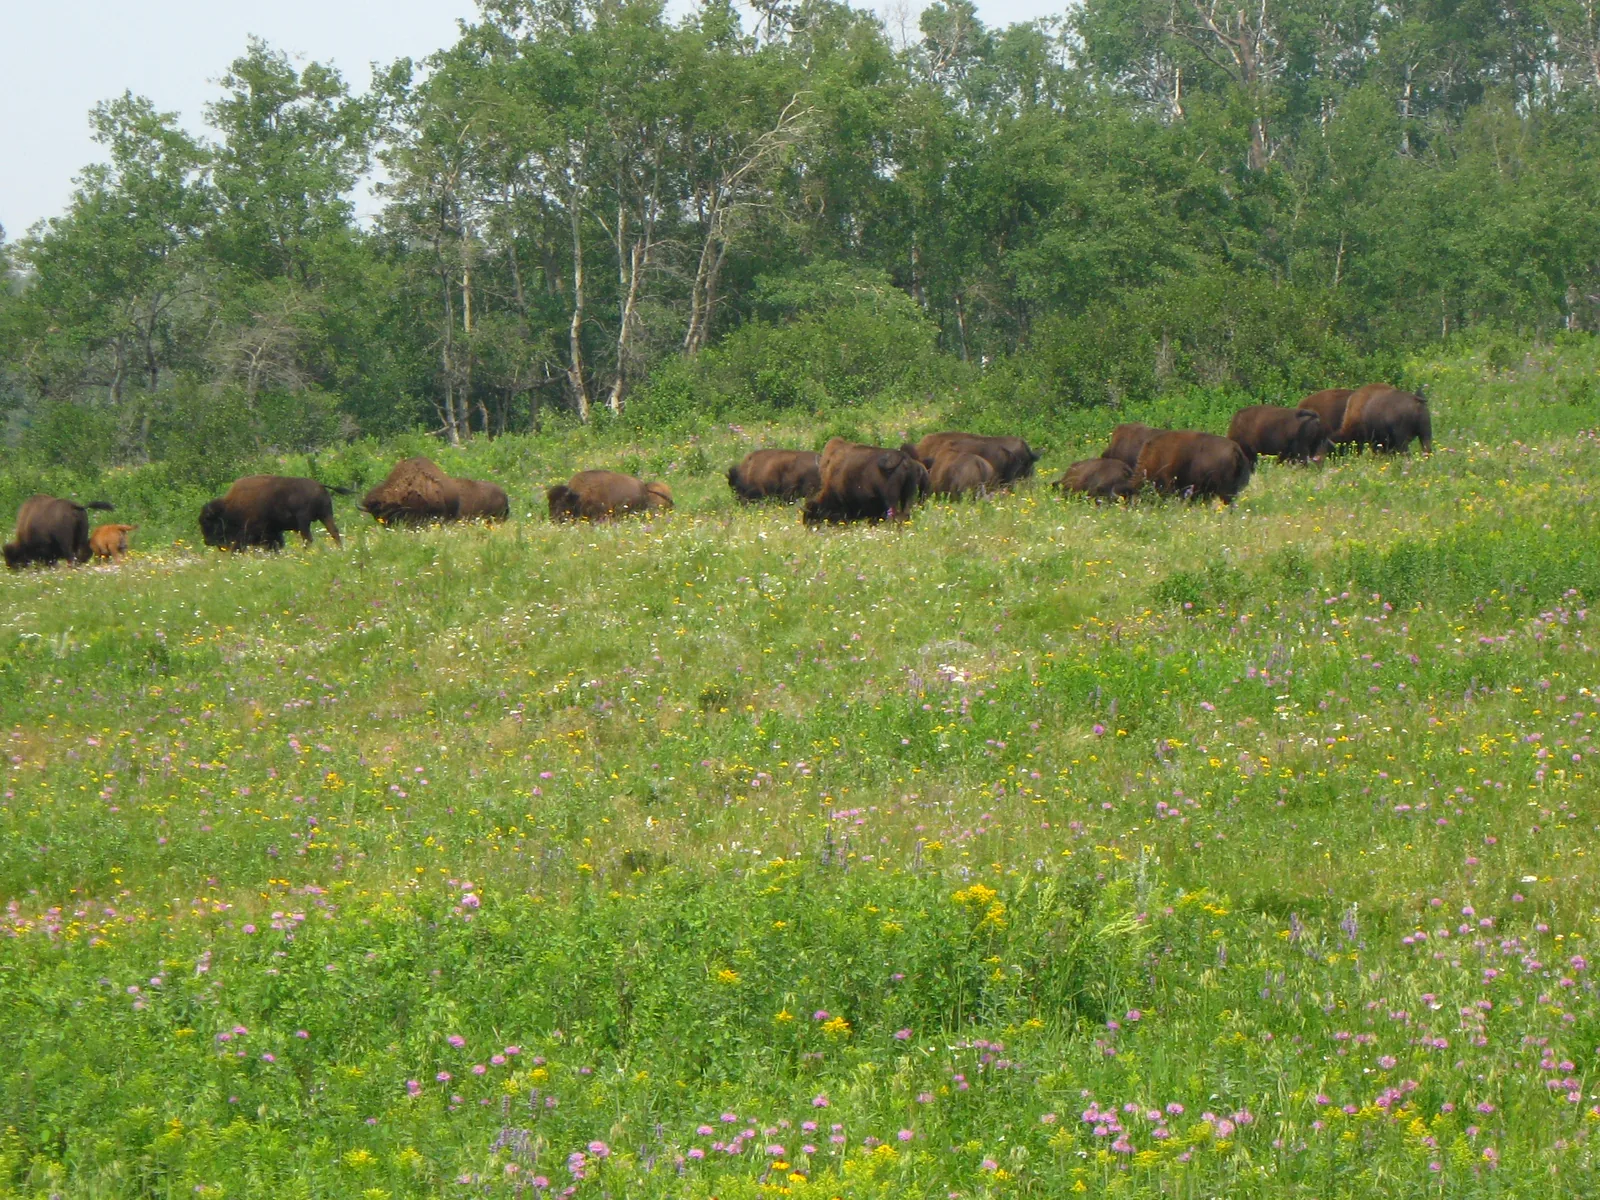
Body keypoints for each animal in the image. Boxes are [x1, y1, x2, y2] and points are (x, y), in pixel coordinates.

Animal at [200, 476, 344, 551]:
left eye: (207, 521)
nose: (207, 541)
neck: (229, 508)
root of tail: (320, 485)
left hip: (304, 521)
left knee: (308, 539)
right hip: (325, 515)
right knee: (334, 532)